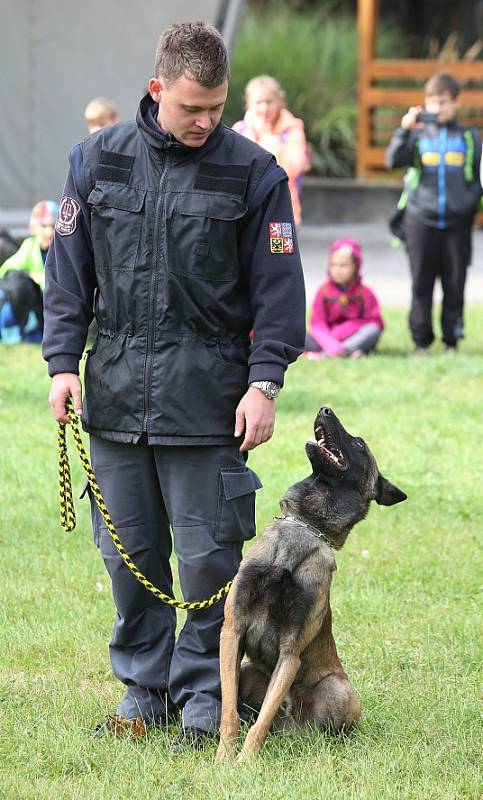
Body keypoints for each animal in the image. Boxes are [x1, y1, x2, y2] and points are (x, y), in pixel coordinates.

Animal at [217, 406, 406, 764]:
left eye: (359, 443)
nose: (325, 408)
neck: (305, 526)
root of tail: (293, 727)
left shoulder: (291, 652)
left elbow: (261, 722)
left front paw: (245, 762)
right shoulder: (232, 633)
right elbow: (229, 711)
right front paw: (224, 758)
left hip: (339, 689)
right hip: (249, 670)